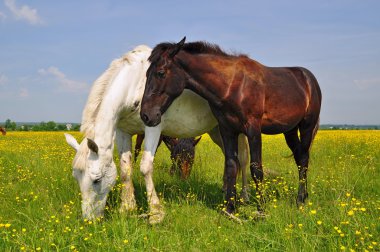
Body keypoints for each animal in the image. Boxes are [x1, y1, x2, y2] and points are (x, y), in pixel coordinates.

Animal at [64, 45, 249, 224]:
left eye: (97, 179)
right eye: (76, 177)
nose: (89, 220)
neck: (133, 85)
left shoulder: (153, 127)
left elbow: (145, 167)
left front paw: (155, 212)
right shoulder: (123, 131)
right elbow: (125, 169)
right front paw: (127, 207)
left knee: (243, 159)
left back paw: (244, 197)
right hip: (217, 131)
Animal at [141, 37, 322, 215]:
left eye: (161, 73)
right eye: (146, 73)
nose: (146, 115)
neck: (233, 85)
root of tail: (309, 79)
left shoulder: (253, 129)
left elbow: (256, 168)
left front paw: (261, 210)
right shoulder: (227, 129)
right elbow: (231, 165)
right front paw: (229, 209)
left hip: (307, 125)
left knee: (304, 158)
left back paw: (300, 201)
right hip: (289, 130)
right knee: (299, 157)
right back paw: (304, 196)